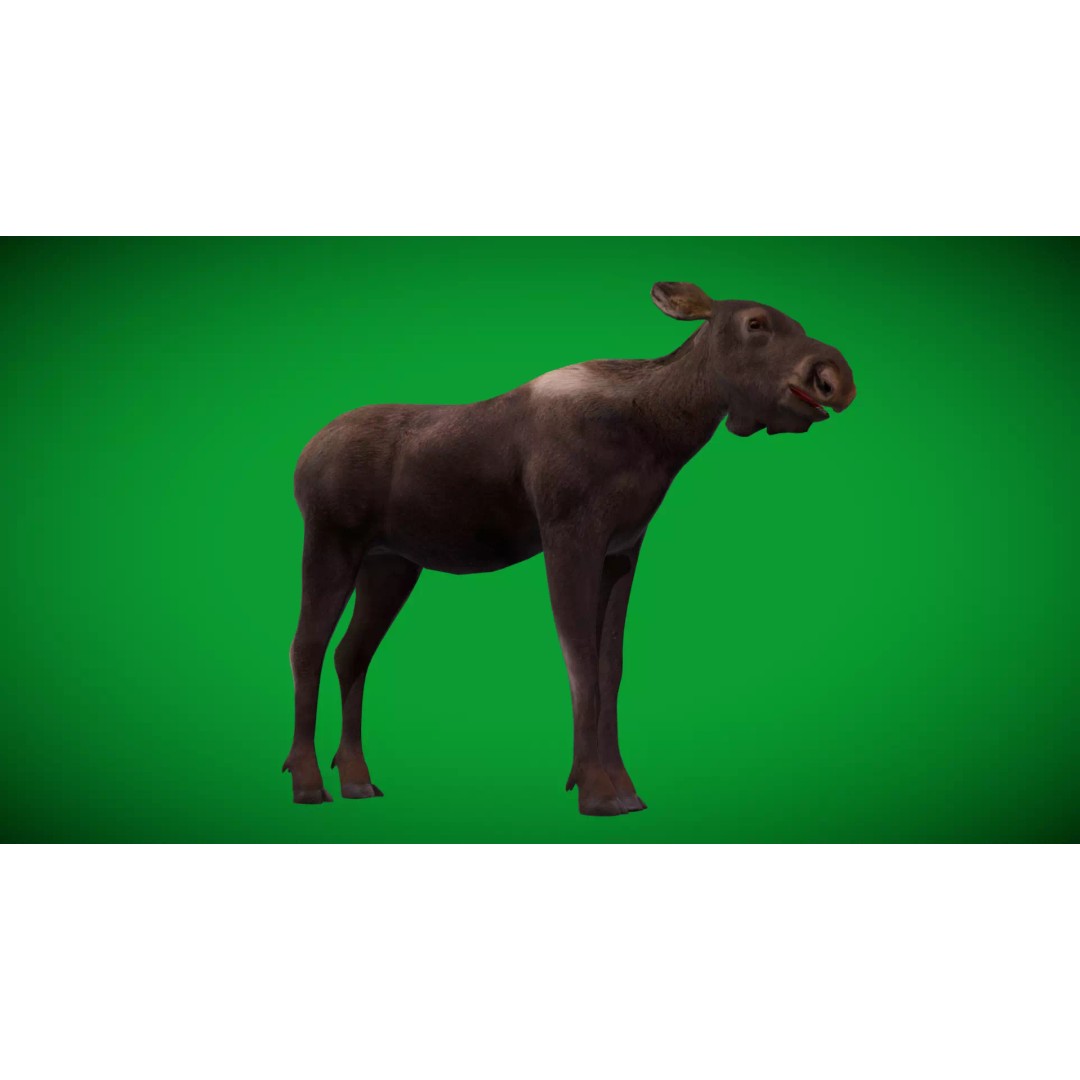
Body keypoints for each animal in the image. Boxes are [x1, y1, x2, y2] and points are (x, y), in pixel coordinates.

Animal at [284, 281, 857, 815]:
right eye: (755, 323)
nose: (834, 377)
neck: (659, 437)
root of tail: (302, 459)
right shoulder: (569, 534)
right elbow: (580, 662)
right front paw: (596, 790)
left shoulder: (623, 549)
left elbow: (611, 667)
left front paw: (625, 787)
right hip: (331, 541)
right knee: (307, 648)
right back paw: (309, 782)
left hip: (392, 565)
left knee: (351, 654)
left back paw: (357, 778)